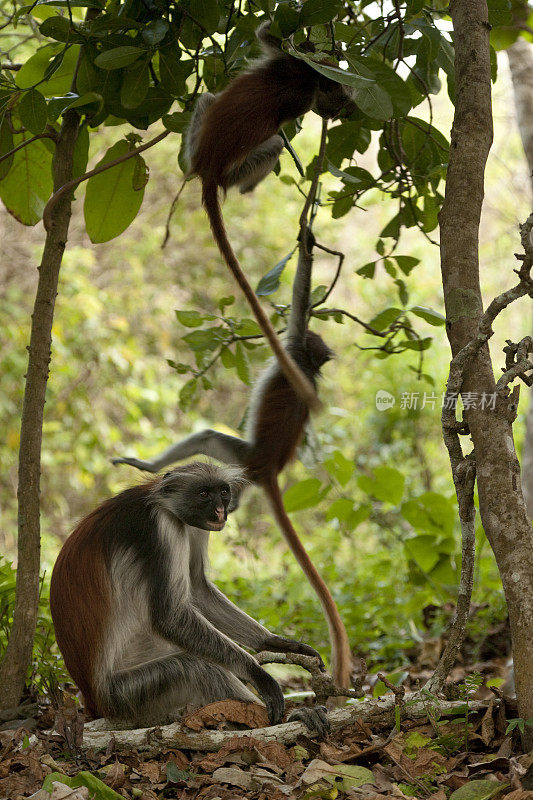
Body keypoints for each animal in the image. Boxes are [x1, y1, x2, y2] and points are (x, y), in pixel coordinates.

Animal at [52, 460, 328, 736]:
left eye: (223, 492)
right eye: (203, 494)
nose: (220, 510)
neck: (163, 503)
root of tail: (92, 699)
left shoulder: (193, 525)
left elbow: (196, 586)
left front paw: (276, 643)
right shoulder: (161, 529)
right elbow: (170, 617)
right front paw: (256, 672)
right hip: (126, 693)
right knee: (199, 668)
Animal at [177, 23, 356, 412]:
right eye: (338, 105)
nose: (340, 115)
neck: (310, 78)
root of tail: (208, 168)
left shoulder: (290, 68)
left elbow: (265, 36)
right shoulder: (300, 84)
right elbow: (272, 39)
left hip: (198, 140)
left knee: (209, 100)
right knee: (271, 142)